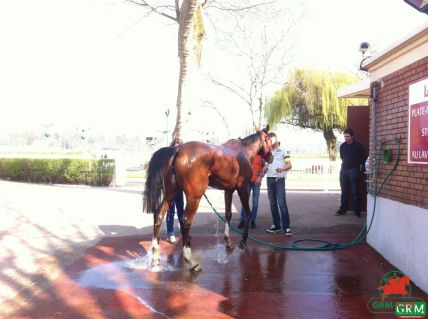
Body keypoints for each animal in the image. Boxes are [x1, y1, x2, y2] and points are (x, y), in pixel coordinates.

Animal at [144, 127, 274, 272]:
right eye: (269, 141)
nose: (271, 157)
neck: (244, 151)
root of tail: (177, 150)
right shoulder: (243, 188)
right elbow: (248, 212)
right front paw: (243, 242)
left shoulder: (229, 190)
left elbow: (228, 214)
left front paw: (228, 242)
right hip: (194, 197)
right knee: (185, 221)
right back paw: (190, 261)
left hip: (171, 192)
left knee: (159, 215)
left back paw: (155, 260)